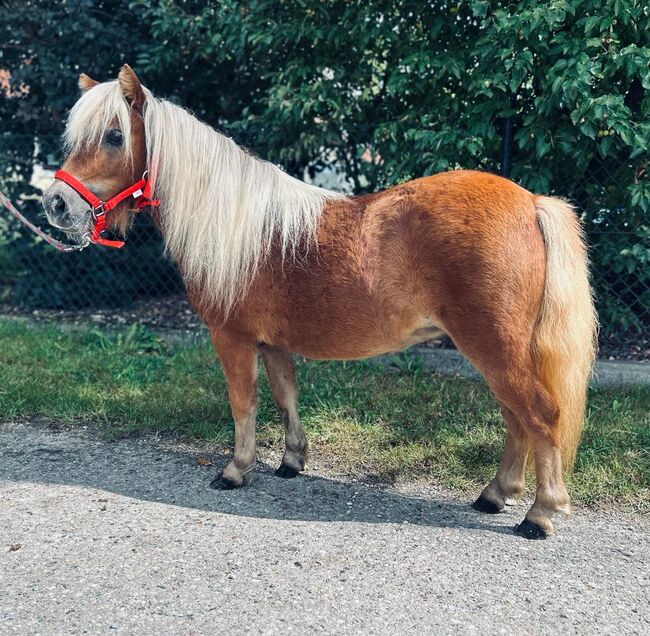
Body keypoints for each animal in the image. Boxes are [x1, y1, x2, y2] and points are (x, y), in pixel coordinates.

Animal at [43, 67, 596, 540]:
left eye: (114, 136)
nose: (56, 205)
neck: (237, 224)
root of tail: (531, 202)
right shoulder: (272, 343)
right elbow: (285, 396)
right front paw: (291, 461)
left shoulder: (232, 338)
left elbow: (244, 403)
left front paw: (236, 470)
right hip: (495, 351)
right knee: (516, 417)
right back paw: (496, 494)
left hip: (494, 348)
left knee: (540, 414)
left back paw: (540, 514)